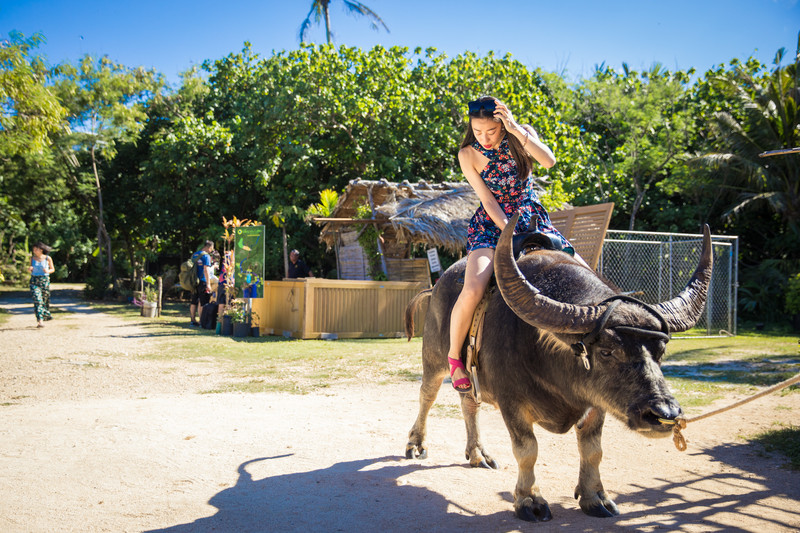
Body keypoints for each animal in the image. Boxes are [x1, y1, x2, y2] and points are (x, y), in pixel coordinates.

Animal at [406, 214, 712, 520]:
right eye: (606, 351)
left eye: (661, 351)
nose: (664, 414)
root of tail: (436, 287)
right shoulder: (511, 400)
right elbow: (527, 449)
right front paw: (529, 500)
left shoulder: (596, 403)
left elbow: (593, 450)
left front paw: (595, 497)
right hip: (434, 359)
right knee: (427, 396)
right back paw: (416, 444)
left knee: (469, 403)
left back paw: (478, 453)